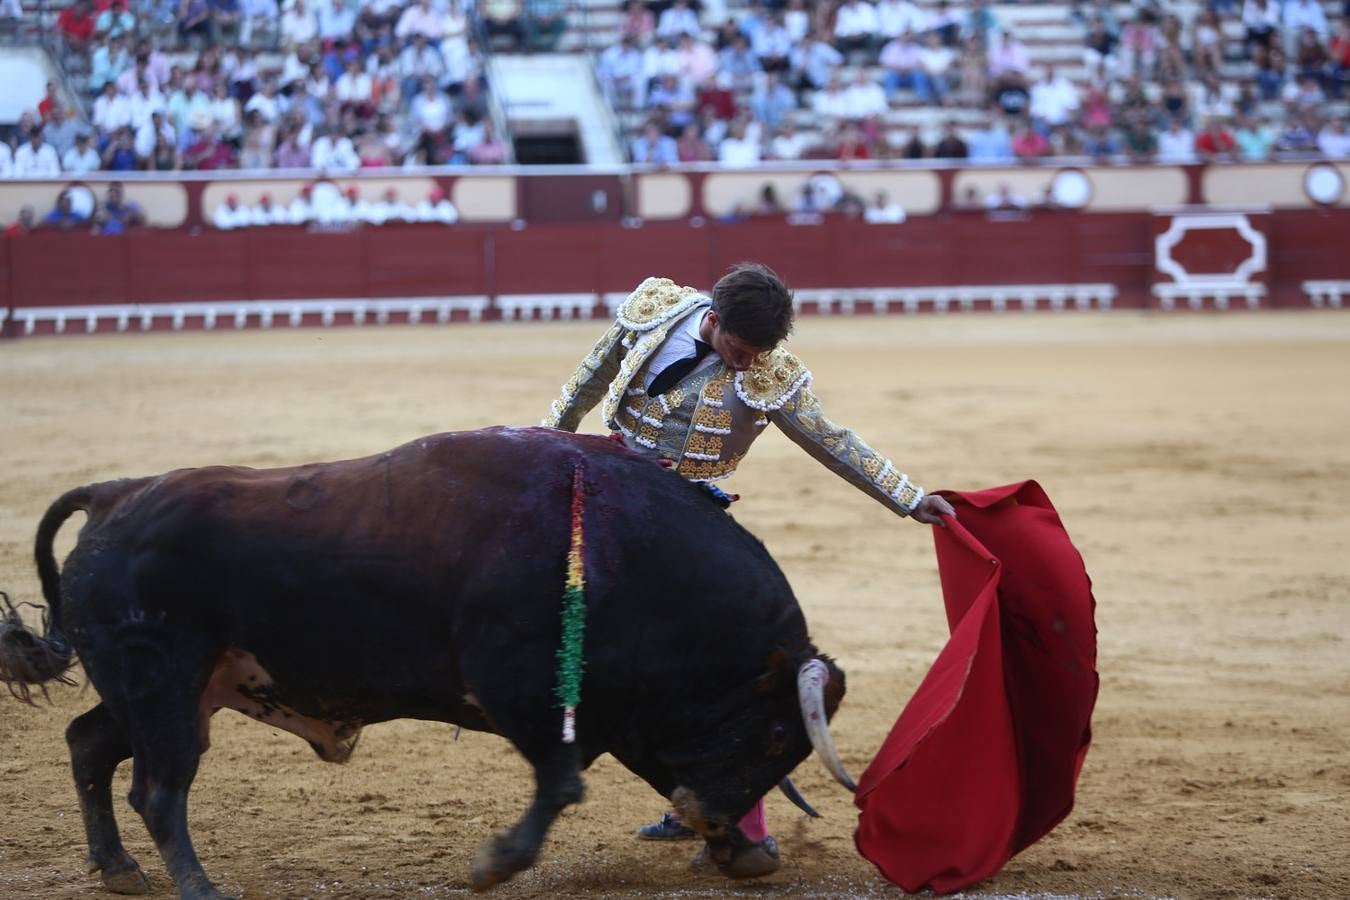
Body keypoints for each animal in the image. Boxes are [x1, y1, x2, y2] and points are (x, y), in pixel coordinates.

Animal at [0, 429, 847, 900]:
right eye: (777, 737)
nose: (715, 822)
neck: (622, 548)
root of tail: (115, 496)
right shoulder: (530, 691)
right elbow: (562, 783)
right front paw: (496, 863)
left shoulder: (622, 712)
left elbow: (626, 769)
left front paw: (743, 853)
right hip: (164, 686)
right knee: (158, 788)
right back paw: (200, 888)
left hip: (166, 690)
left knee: (89, 744)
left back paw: (118, 869)